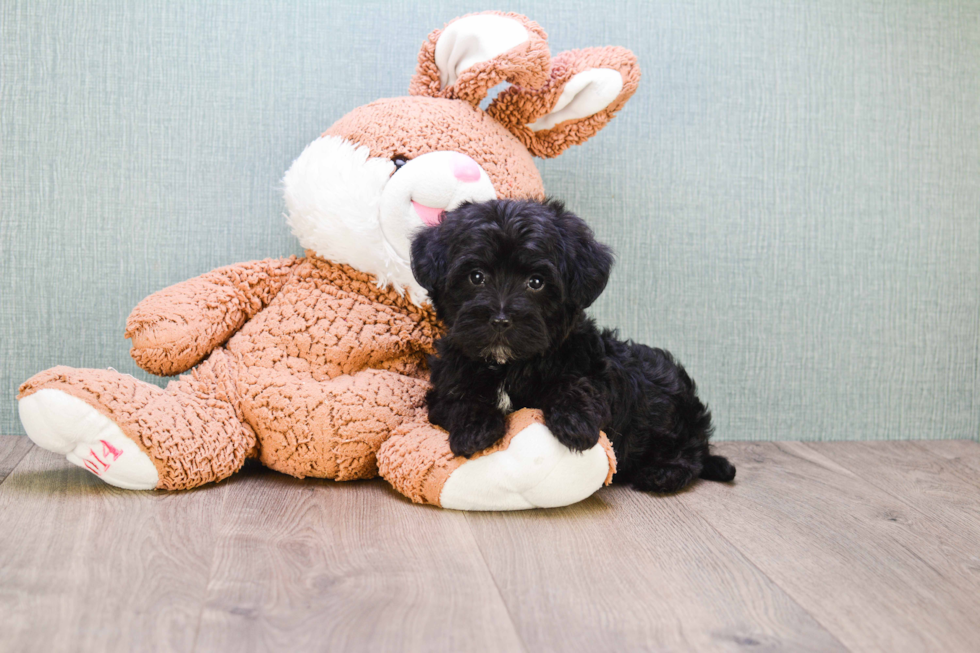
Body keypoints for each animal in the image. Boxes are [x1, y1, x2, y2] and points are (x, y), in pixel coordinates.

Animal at [412, 199, 736, 494]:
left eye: (536, 282)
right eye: (476, 276)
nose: (501, 320)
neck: (508, 365)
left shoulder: (592, 370)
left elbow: (576, 385)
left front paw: (576, 424)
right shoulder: (447, 382)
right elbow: (460, 398)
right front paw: (475, 430)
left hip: (671, 412)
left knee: (690, 454)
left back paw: (662, 473)